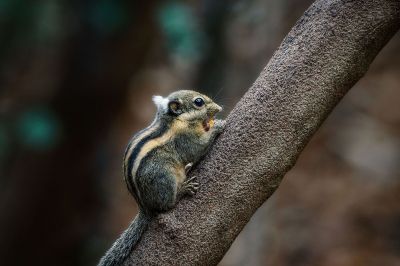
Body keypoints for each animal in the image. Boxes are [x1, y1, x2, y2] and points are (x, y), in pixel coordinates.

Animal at [98, 90, 225, 264]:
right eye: (199, 102)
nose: (219, 108)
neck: (174, 121)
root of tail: (144, 206)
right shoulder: (186, 139)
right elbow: (198, 148)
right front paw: (218, 125)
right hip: (164, 178)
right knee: (166, 205)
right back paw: (183, 189)